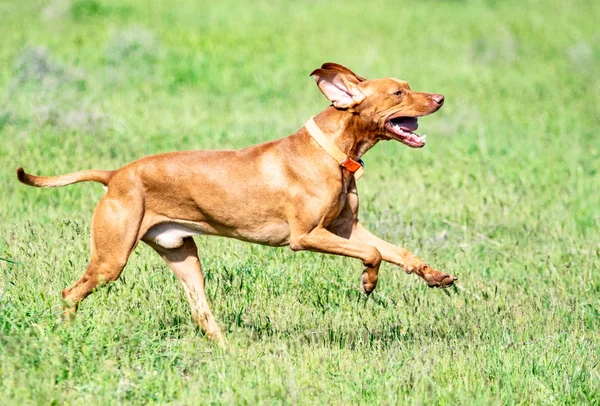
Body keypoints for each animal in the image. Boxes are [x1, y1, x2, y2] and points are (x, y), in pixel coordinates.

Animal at [18, 62, 458, 342]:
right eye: (398, 92)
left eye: (408, 86)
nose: (440, 97)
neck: (333, 151)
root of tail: (115, 176)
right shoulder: (306, 236)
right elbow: (373, 253)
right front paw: (368, 281)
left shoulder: (345, 228)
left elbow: (397, 251)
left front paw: (434, 275)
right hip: (111, 259)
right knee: (70, 293)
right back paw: (67, 334)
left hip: (184, 257)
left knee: (202, 314)